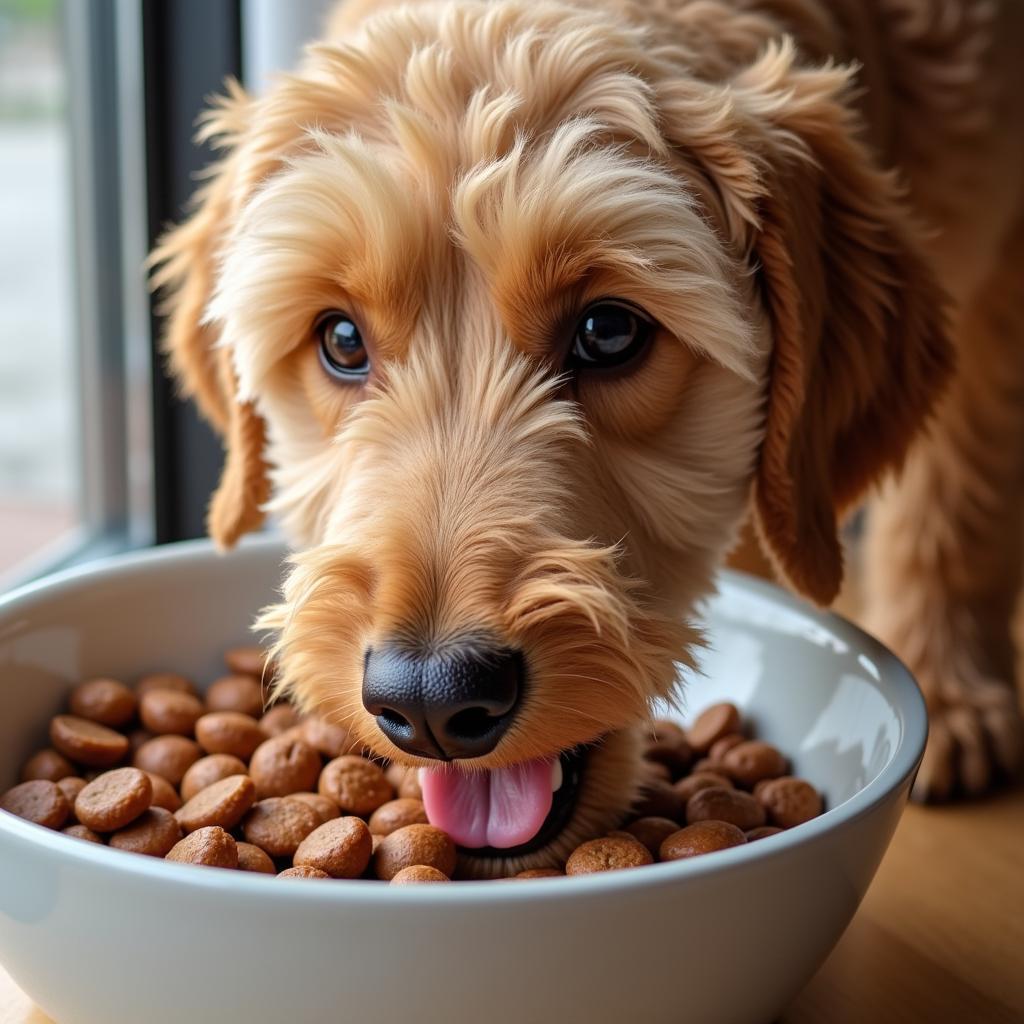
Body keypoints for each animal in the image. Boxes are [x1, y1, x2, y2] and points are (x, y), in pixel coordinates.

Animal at [151, 0, 1024, 880]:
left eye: (608, 331)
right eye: (339, 339)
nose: (431, 700)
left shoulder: (1000, 287)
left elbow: (963, 491)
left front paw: (950, 686)